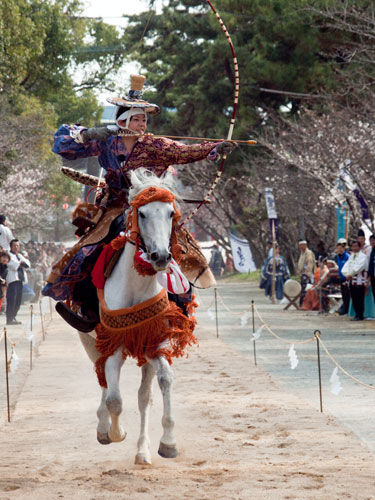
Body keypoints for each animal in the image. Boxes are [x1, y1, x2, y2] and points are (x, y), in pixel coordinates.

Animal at [78, 168, 192, 464]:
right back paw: (104, 429)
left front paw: (168, 443)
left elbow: (163, 382)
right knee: (104, 381)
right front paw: (116, 433)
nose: (161, 256)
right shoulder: (113, 343)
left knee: (143, 396)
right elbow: (115, 399)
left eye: (170, 213)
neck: (137, 285)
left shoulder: (154, 341)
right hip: (90, 342)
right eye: (142, 213)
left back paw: (142, 452)